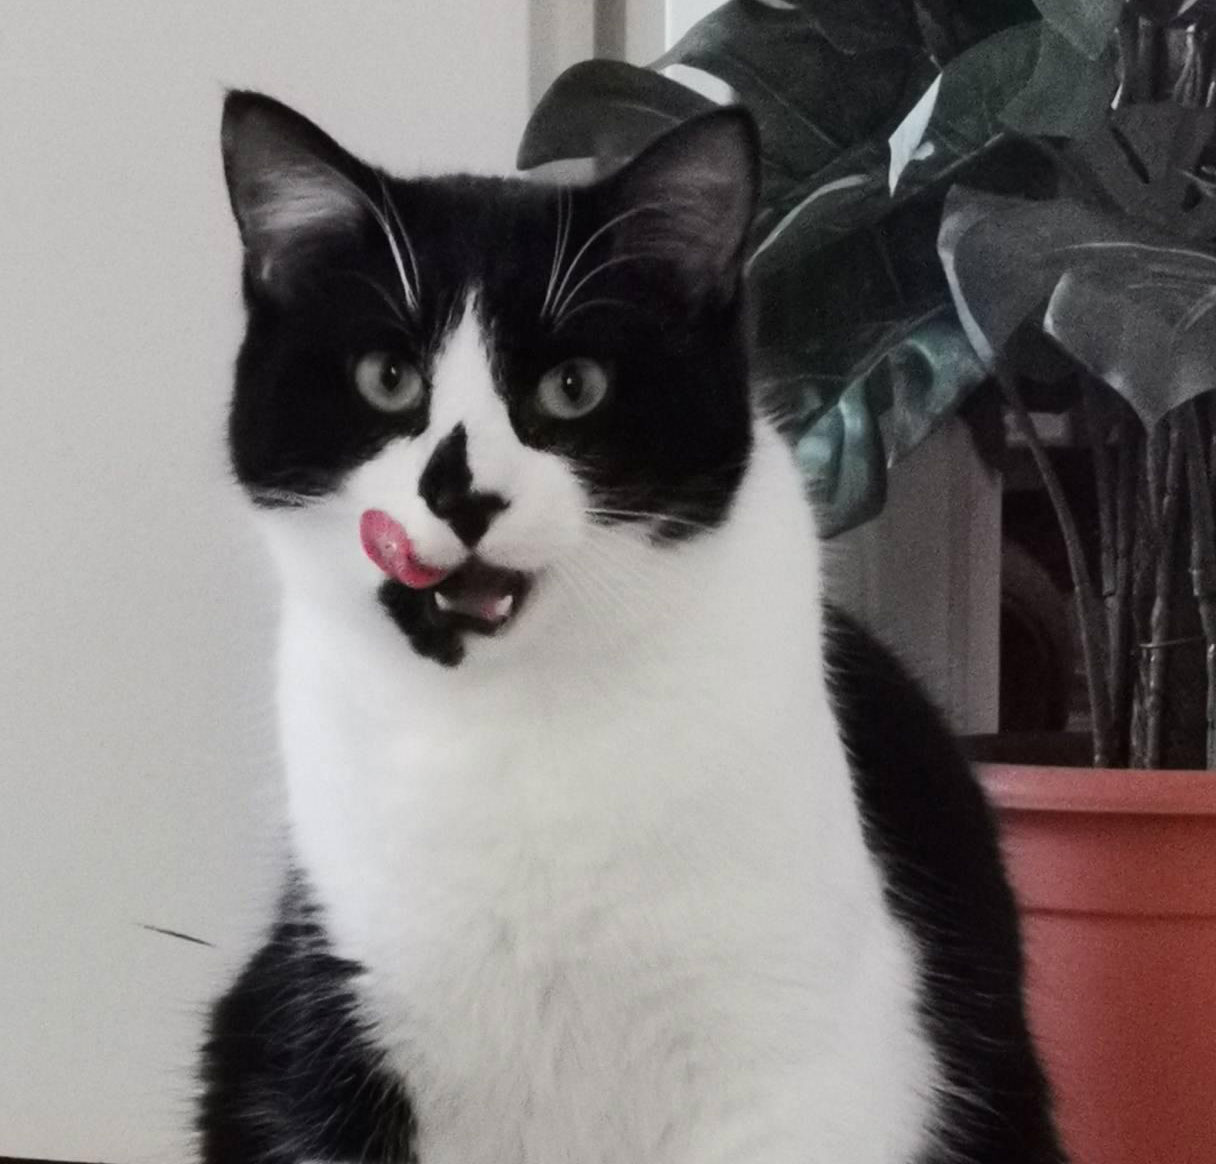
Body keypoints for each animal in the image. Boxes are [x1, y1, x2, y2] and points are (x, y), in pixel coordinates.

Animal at [197, 90, 1066, 1164]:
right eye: (388, 377)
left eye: (574, 386)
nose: (461, 491)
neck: (513, 728)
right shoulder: (341, 1014)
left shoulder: (805, 1065)